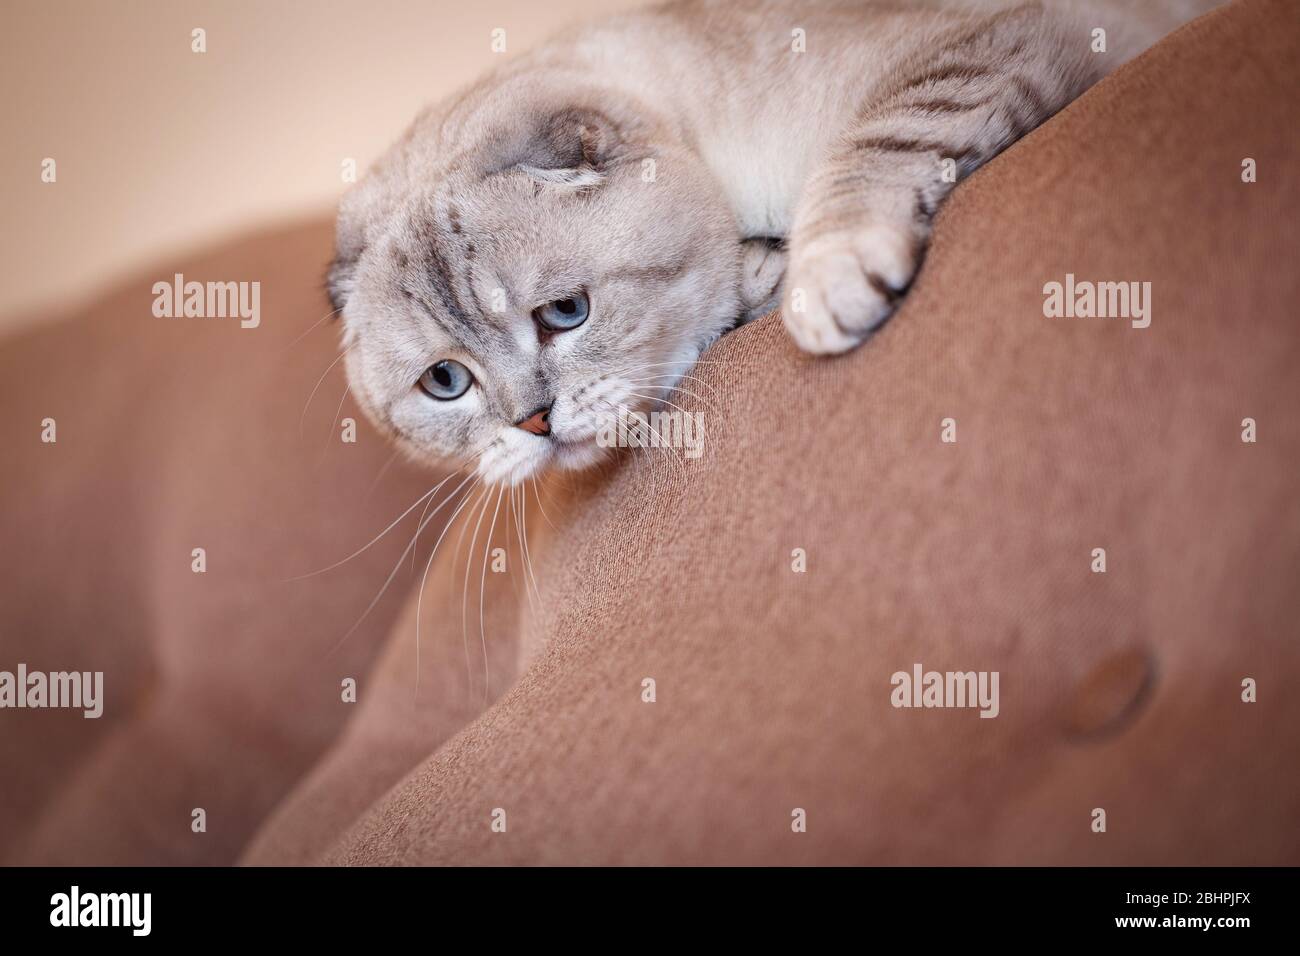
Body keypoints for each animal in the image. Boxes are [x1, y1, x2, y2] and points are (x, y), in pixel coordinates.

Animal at [327, 0, 1216, 486]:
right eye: (446, 383)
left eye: (566, 313)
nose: (535, 425)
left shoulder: (991, 41)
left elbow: (873, 145)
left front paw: (823, 284)